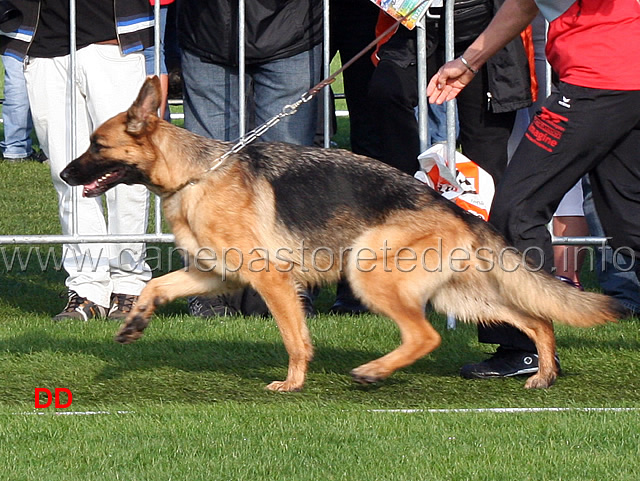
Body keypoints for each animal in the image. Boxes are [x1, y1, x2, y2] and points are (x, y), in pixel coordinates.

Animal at [62, 78, 624, 390]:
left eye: (96, 144)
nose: (64, 174)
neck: (195, 173)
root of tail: (454, 209)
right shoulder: (214, 275)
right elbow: (156, 286)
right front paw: (135, 322)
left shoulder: (271, 282)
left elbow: (295, 338)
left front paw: (293, 383)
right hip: (464, 298)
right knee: (539, 321)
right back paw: (543, 373)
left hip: (368, 275)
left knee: (426, 335)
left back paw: (374, 372)